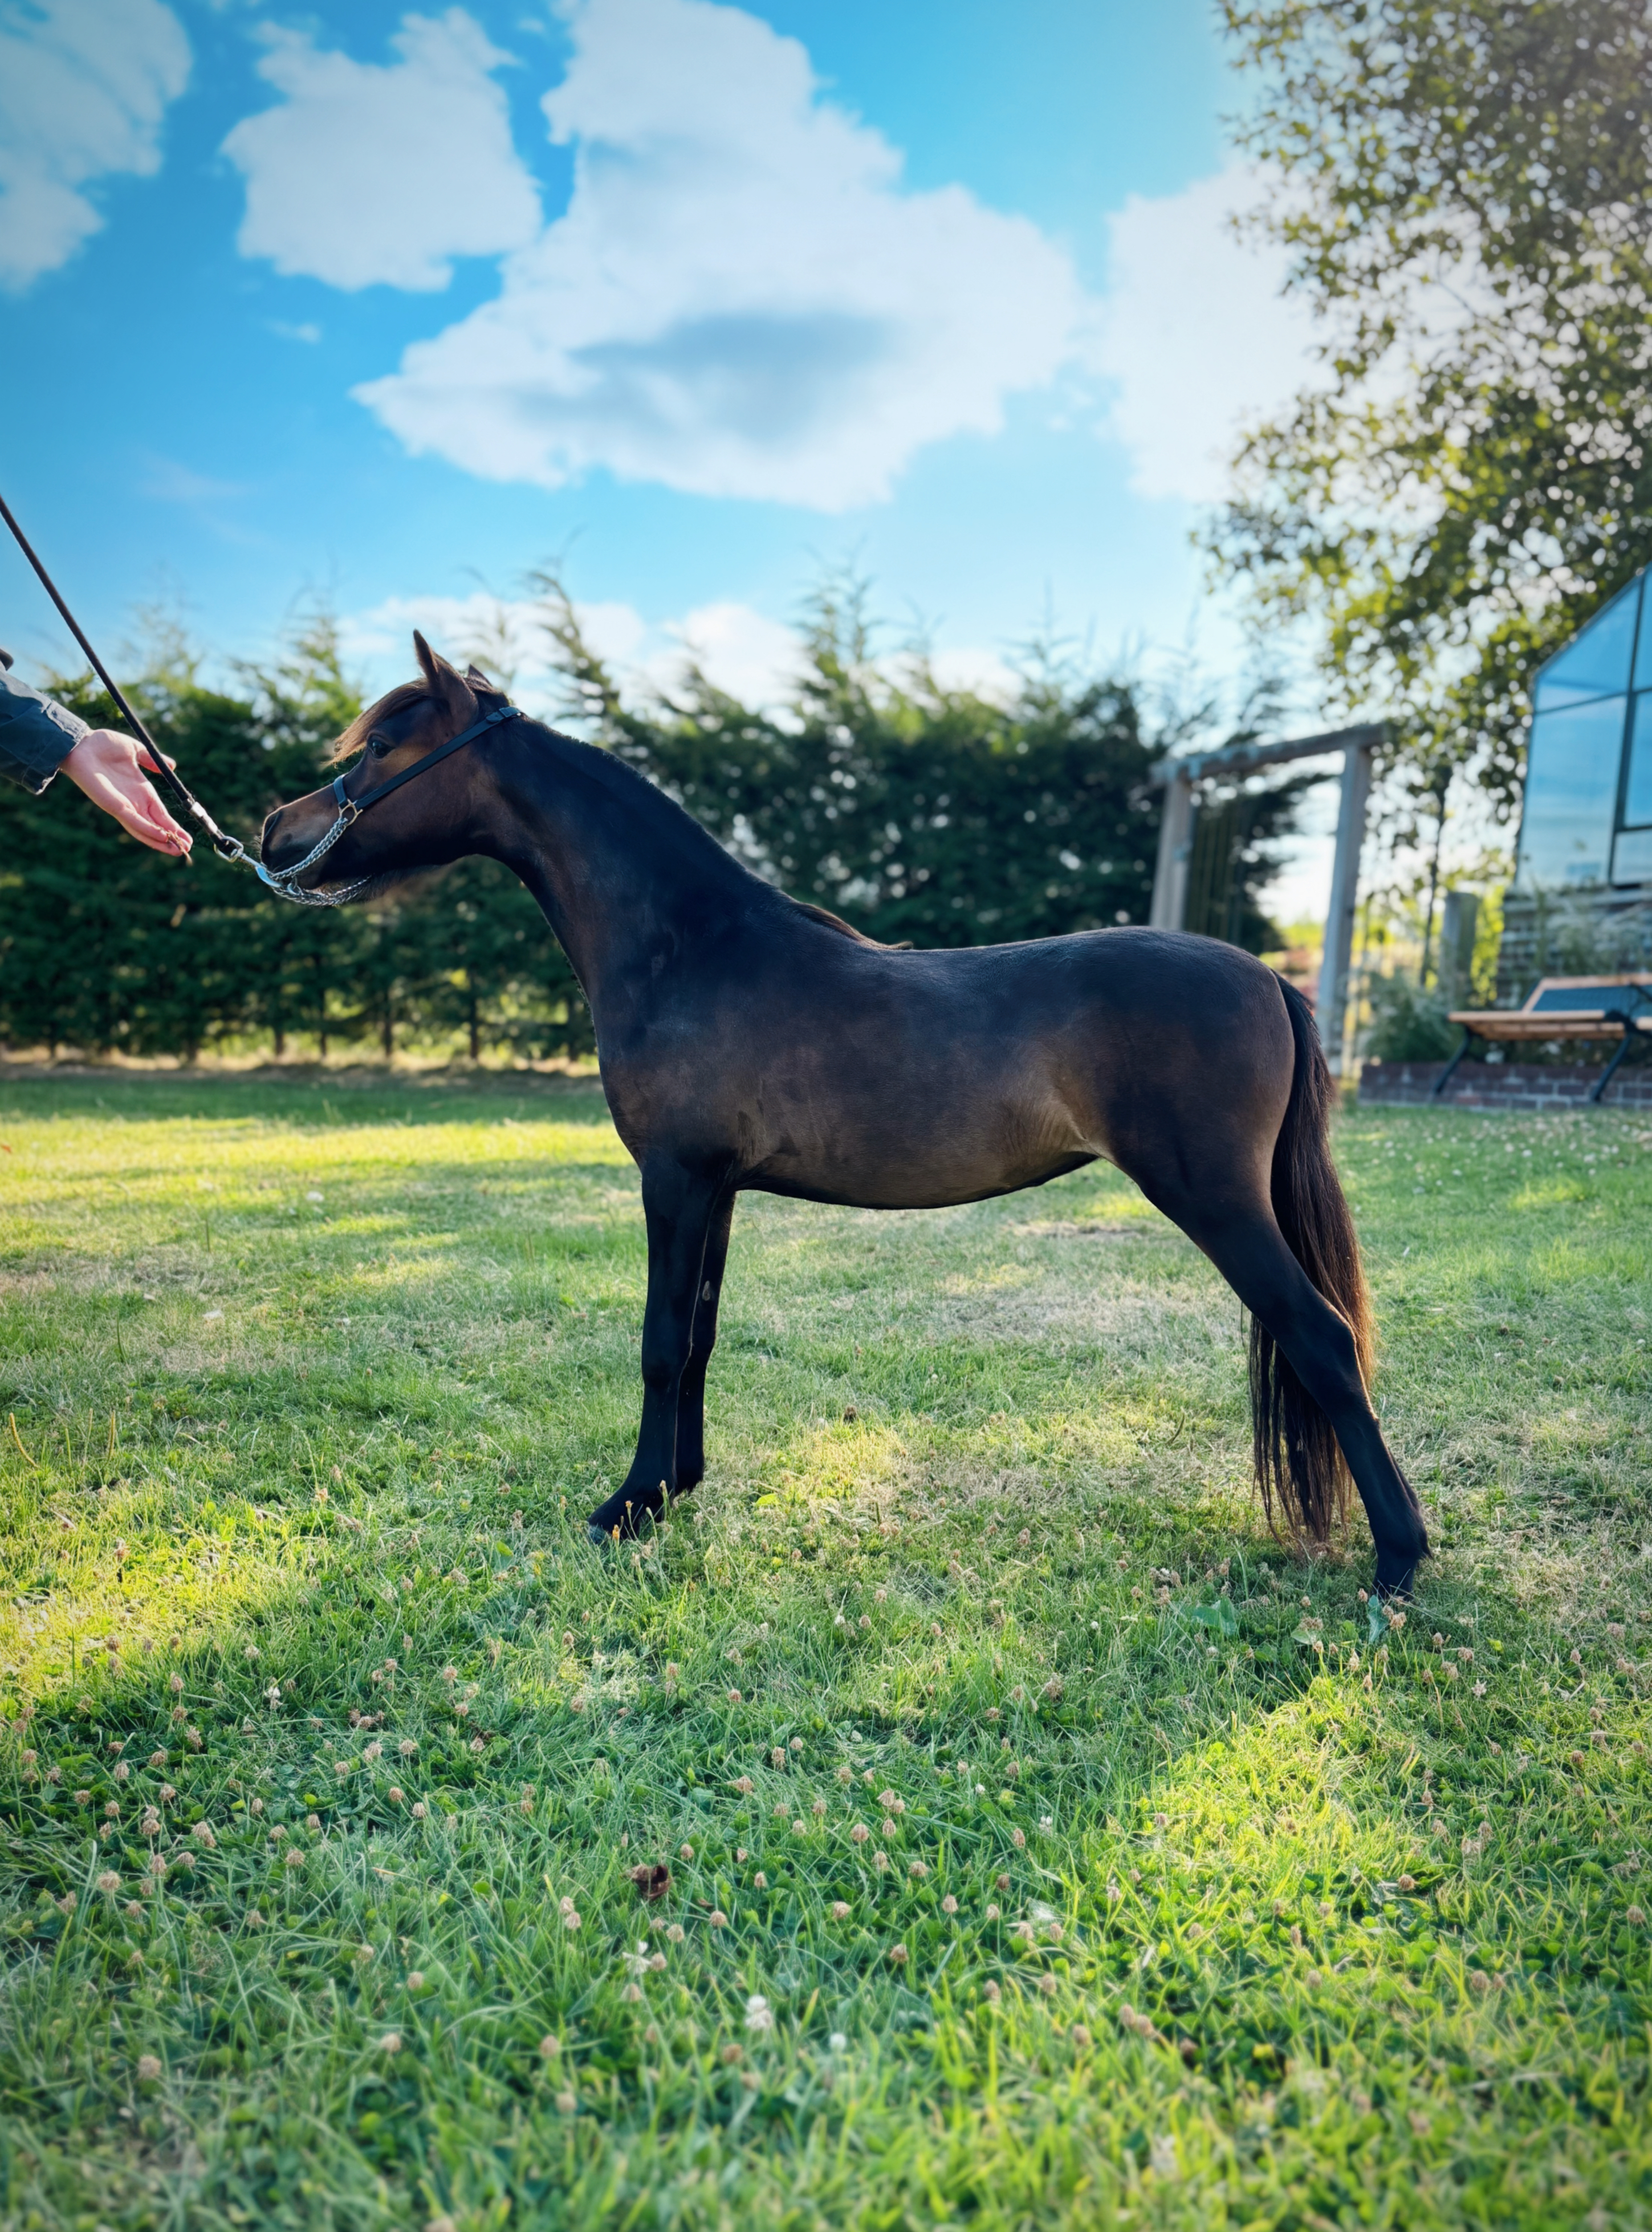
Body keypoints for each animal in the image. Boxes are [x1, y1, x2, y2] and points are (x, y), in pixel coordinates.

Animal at [259, 633, 1430, 1596]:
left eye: (378, 749)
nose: (275, 829)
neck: (690, 947)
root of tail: (1266, 977)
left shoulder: (672, 1179)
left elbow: (656, 1343)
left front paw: (625, 1508)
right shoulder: (717, 1189)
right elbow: (699, 1337)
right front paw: (675, 1488)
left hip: (1217, 1202)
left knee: (1322, 1340)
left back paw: (1397, 1562)